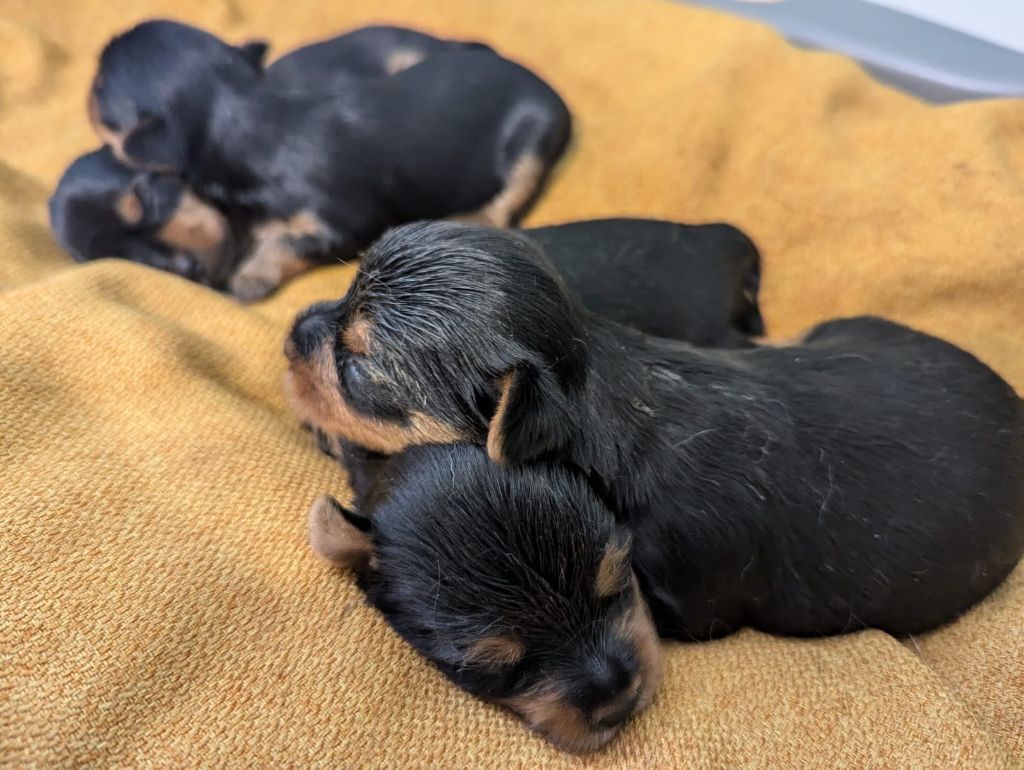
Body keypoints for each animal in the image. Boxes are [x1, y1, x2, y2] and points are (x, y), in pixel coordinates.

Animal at [90, 19, 569, 303]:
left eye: (97, 90)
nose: (86, 95)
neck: (249, 114)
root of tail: (550, 90)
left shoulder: (342, 223)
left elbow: (286, 243)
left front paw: (248, 278)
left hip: (532, 139)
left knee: (507, 197)